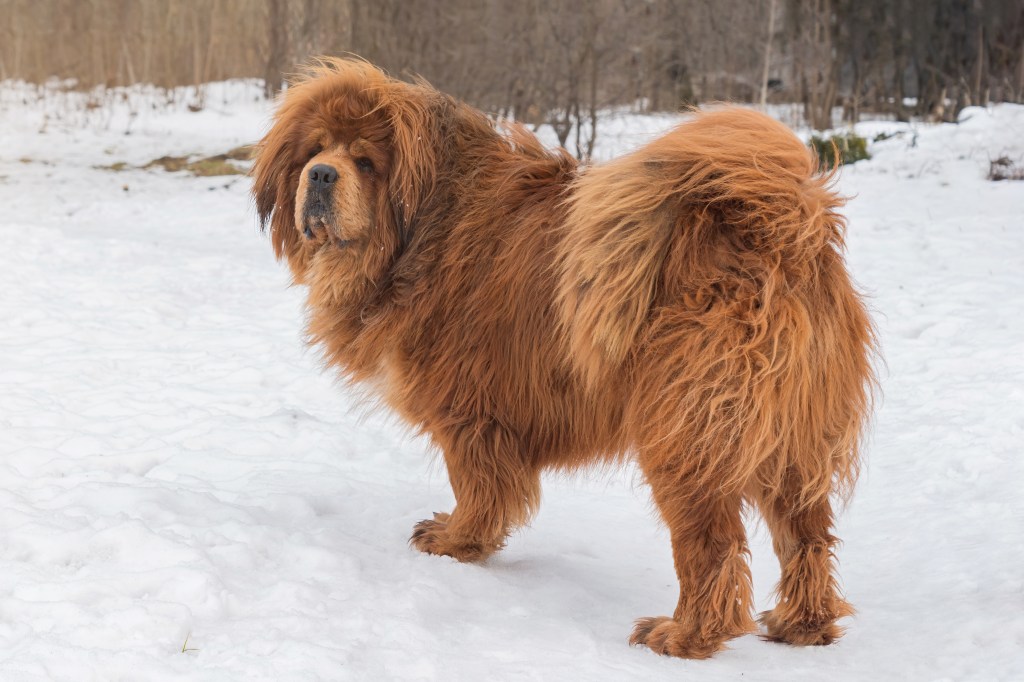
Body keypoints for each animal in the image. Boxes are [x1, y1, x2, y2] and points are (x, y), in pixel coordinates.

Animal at [251, 59, 876, 659]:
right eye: (314, 151)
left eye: (365, 161)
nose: (321, 174)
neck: (421, 226)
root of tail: (780, 230)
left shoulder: (468, 412)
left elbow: (477, 487)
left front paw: (457, 543)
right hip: (792, 442)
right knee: (807, 537)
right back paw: (803, 625)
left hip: (684, 434)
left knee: (714, 547)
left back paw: (686, 635)